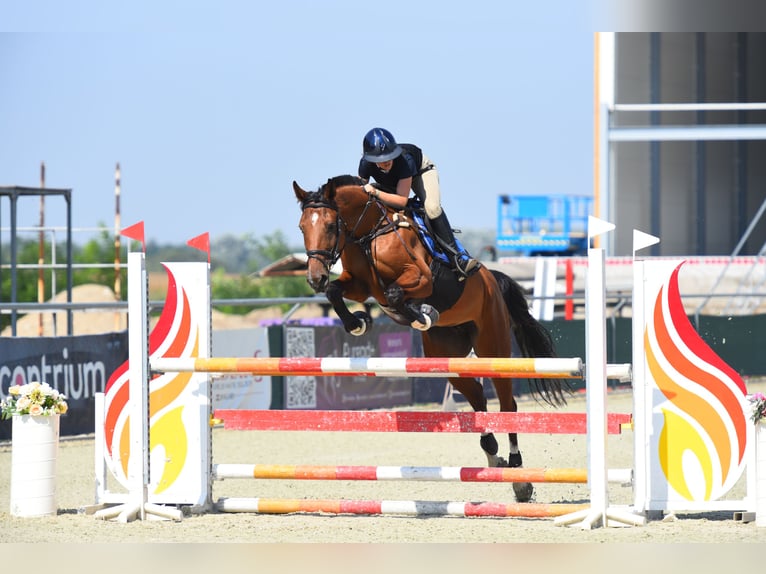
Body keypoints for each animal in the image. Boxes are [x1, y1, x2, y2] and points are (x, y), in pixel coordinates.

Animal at [294, 176, 568, 504]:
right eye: (302, 227)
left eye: (331, 225)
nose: (315, 278)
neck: (368, 233)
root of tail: (493, 277)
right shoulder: (360, 285)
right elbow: (337, 292)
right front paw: (358, 322)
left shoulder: (421, 278)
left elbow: (395, 294)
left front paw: (422, 314)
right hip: (449, 359)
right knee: (478, 398)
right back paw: (494, 456)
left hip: (493, 345)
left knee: (507, 405)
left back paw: (518, 476)